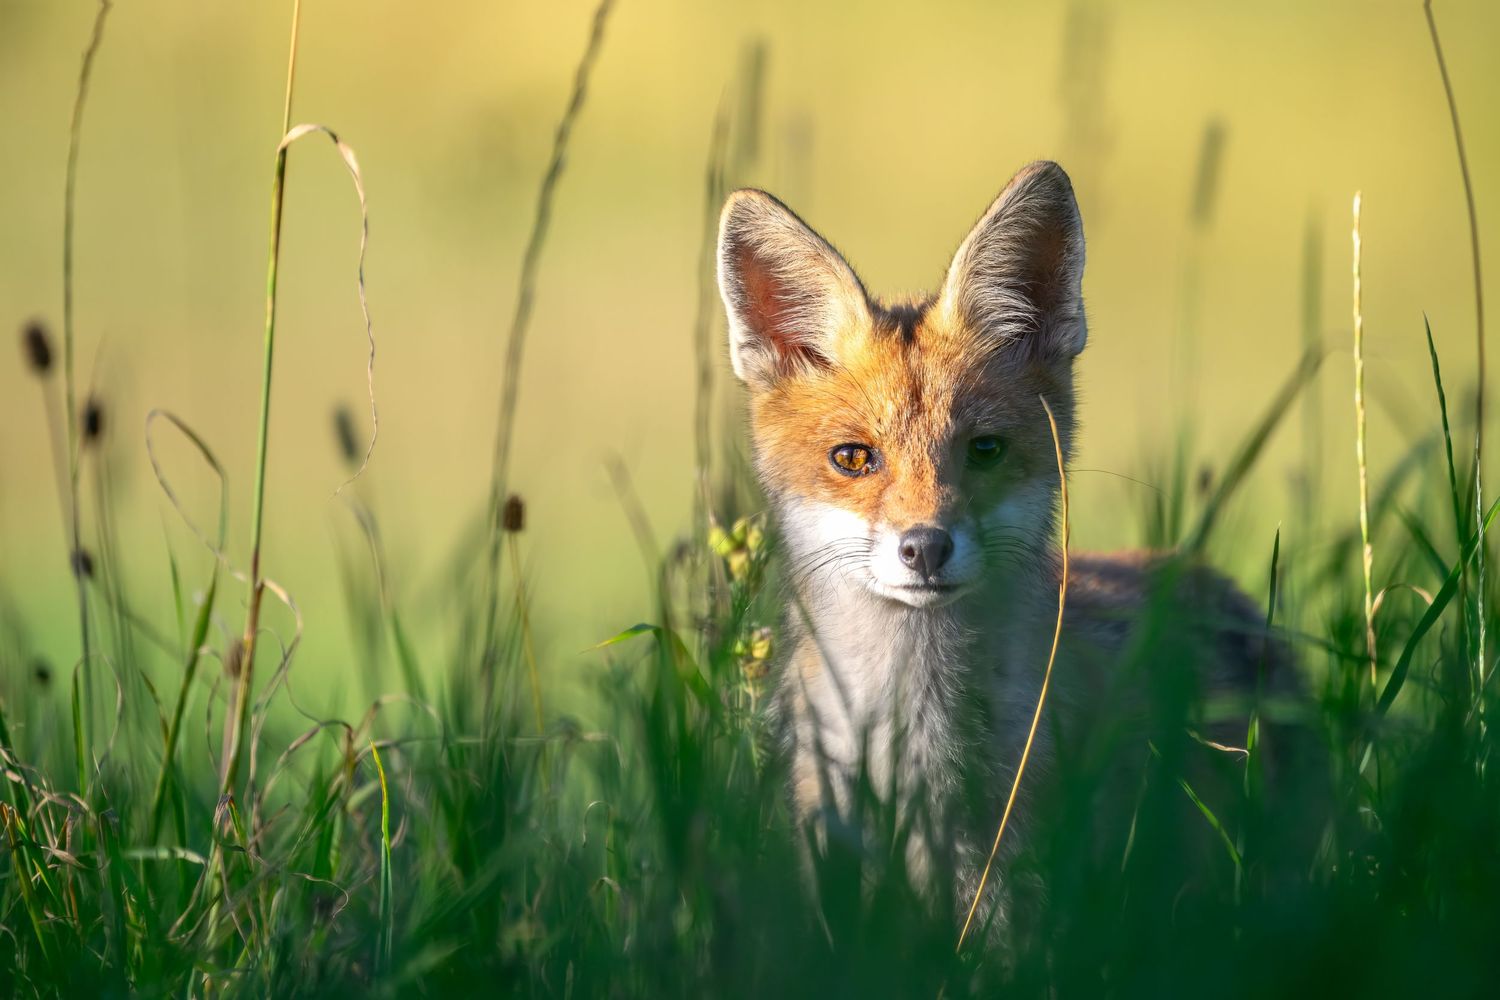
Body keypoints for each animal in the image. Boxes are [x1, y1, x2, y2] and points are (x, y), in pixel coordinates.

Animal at [717, 161, 1296, 919]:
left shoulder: (1006, 880)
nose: (926, 547)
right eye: (853, 459)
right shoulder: (835, 854)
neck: (914, 747)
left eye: (985, 449)